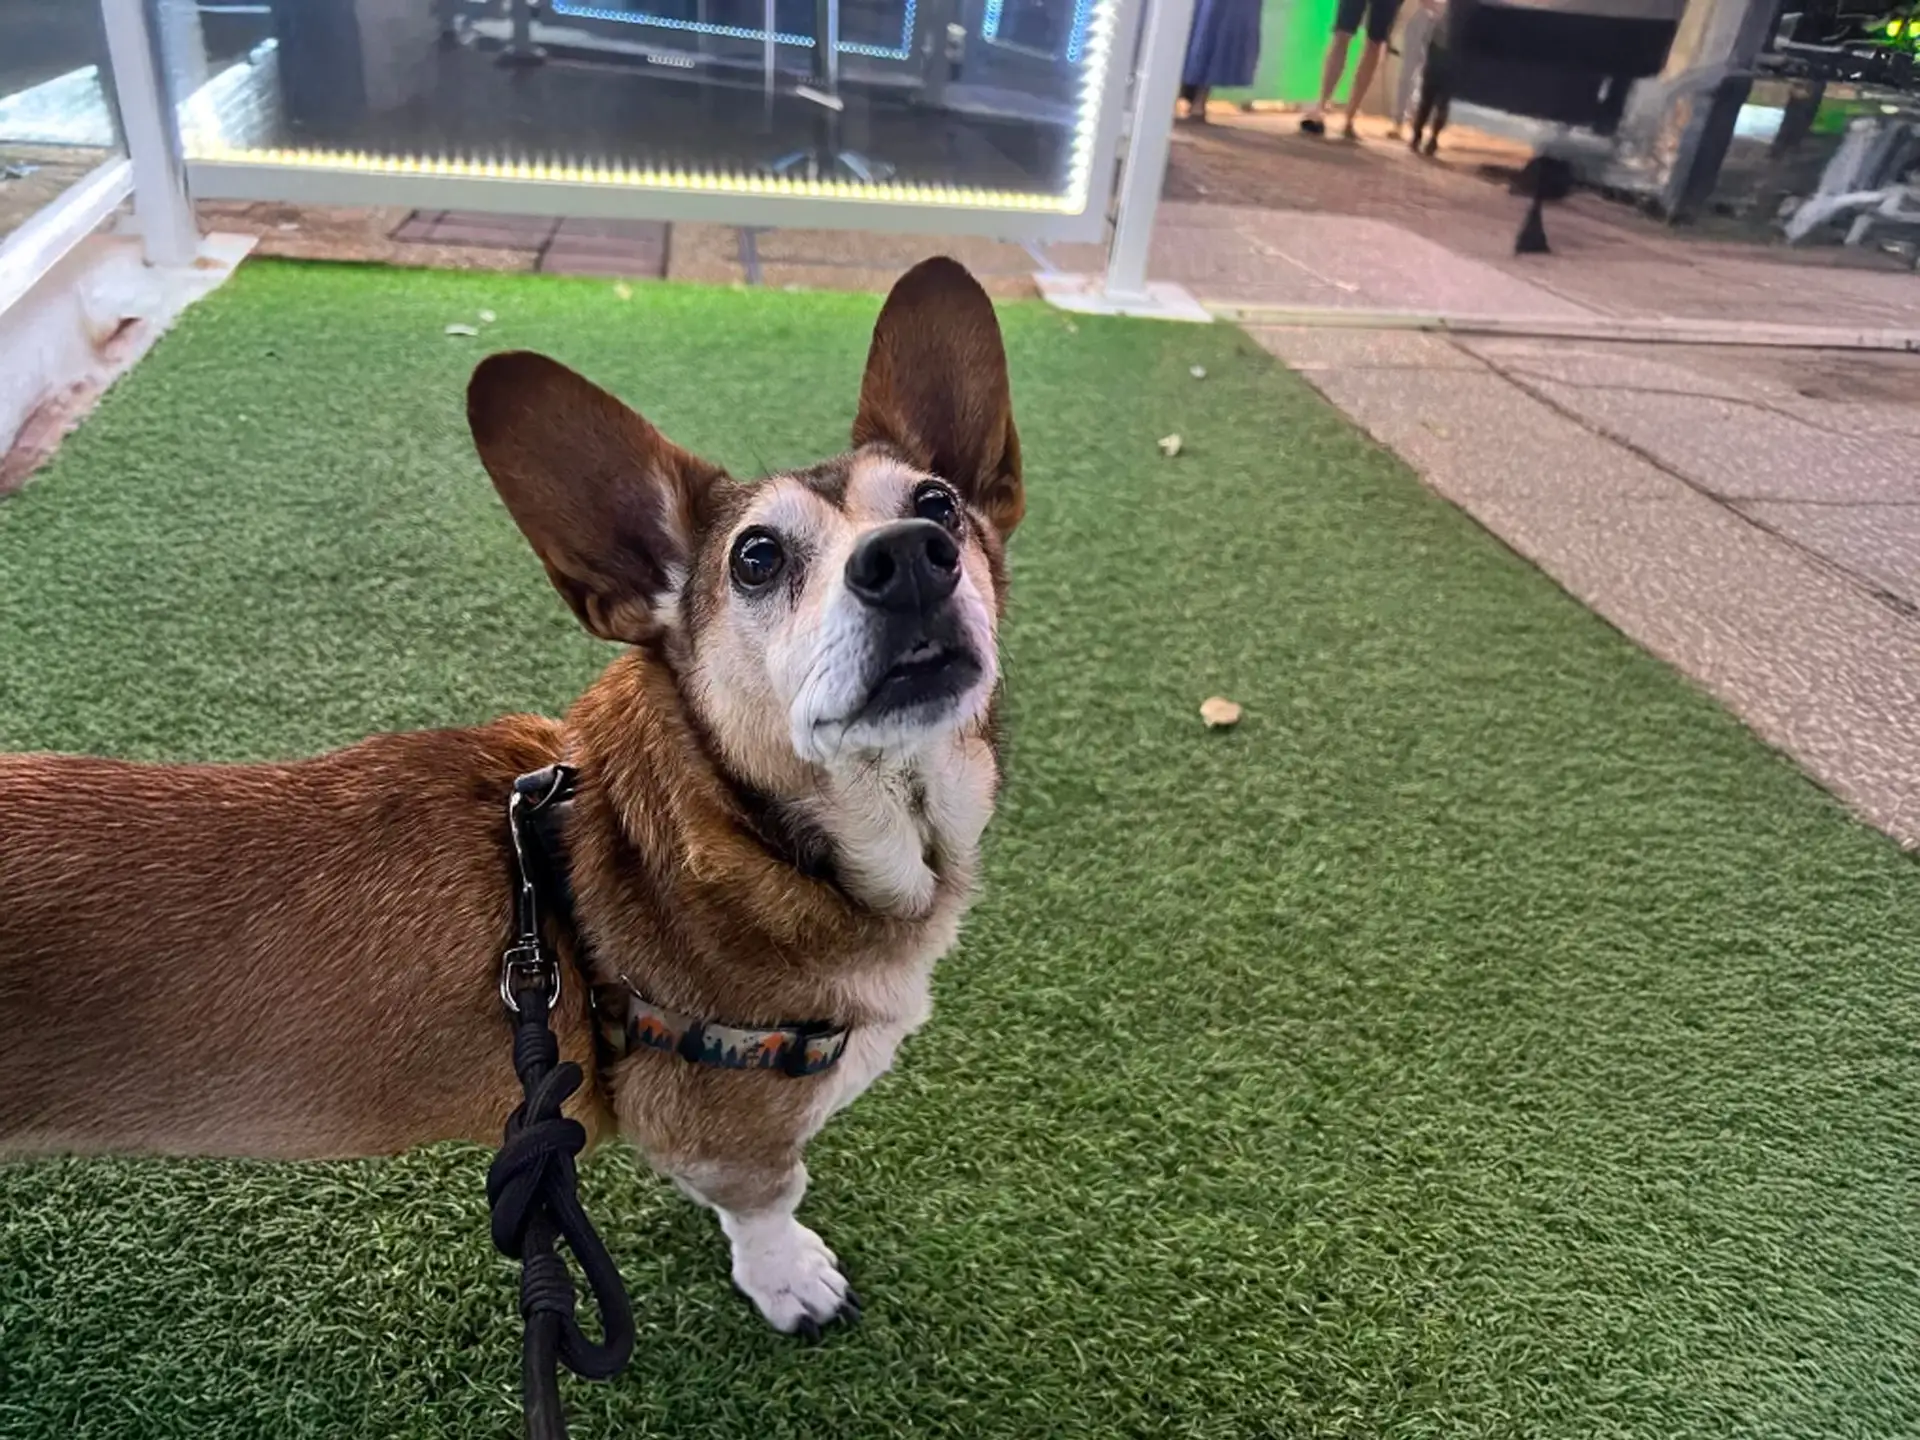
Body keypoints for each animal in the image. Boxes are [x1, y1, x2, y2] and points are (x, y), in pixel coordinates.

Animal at [0, 259, 1021, 1344]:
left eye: (937, 503)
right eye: (756, 558)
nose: (908, 555)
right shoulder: (728, 1135)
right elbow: (770, 1198)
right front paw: (790, 1281)